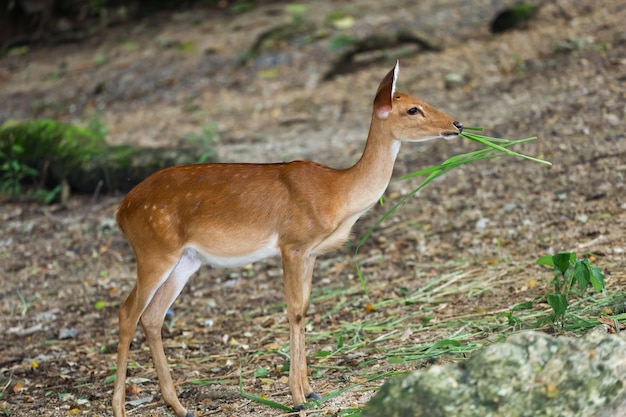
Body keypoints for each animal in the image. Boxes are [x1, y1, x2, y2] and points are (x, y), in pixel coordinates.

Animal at [112, 61, 460, 416]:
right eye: (412, 109)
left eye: (423, 99)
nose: (457, 124)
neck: (337, 194)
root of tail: (121, 210)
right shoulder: (291, 244)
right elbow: (293, 310)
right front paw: (296, 397)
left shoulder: (311, 252)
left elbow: (305, 308)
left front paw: (312, 390)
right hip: (153, 249)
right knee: (127, 313)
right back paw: (120, 408)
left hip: (186, 259)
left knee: (152, 317)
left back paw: (180, 406)